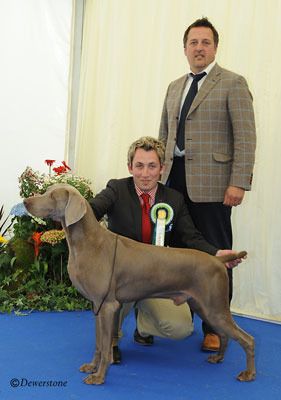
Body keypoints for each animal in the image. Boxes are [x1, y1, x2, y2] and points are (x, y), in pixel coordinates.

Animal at [25, 184, 255, 384]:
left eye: (53, 196)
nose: (26, 201)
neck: (88, 242)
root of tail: (218, 260)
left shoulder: (108, 306)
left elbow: (105, 346)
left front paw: (99, 377)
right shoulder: (97, 305)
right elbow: (99, 343)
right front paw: (92, 367)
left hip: (215, 307)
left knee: (248, 339)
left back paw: (248, 374)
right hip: (203, 306)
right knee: (225, 334)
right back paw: (218, 358)